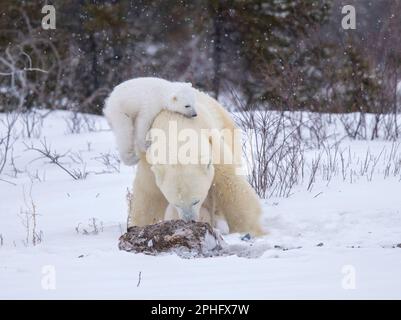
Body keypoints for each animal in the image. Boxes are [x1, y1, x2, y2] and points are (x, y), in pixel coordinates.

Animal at [128, 89, 264, 236]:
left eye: (195, 201)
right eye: (176, 203)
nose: (189, 220)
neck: (177, 125)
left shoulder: (211, 143)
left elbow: (230, 184)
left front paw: (250, 230)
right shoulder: (150, 158)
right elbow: (149, 194)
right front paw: (141, 225)